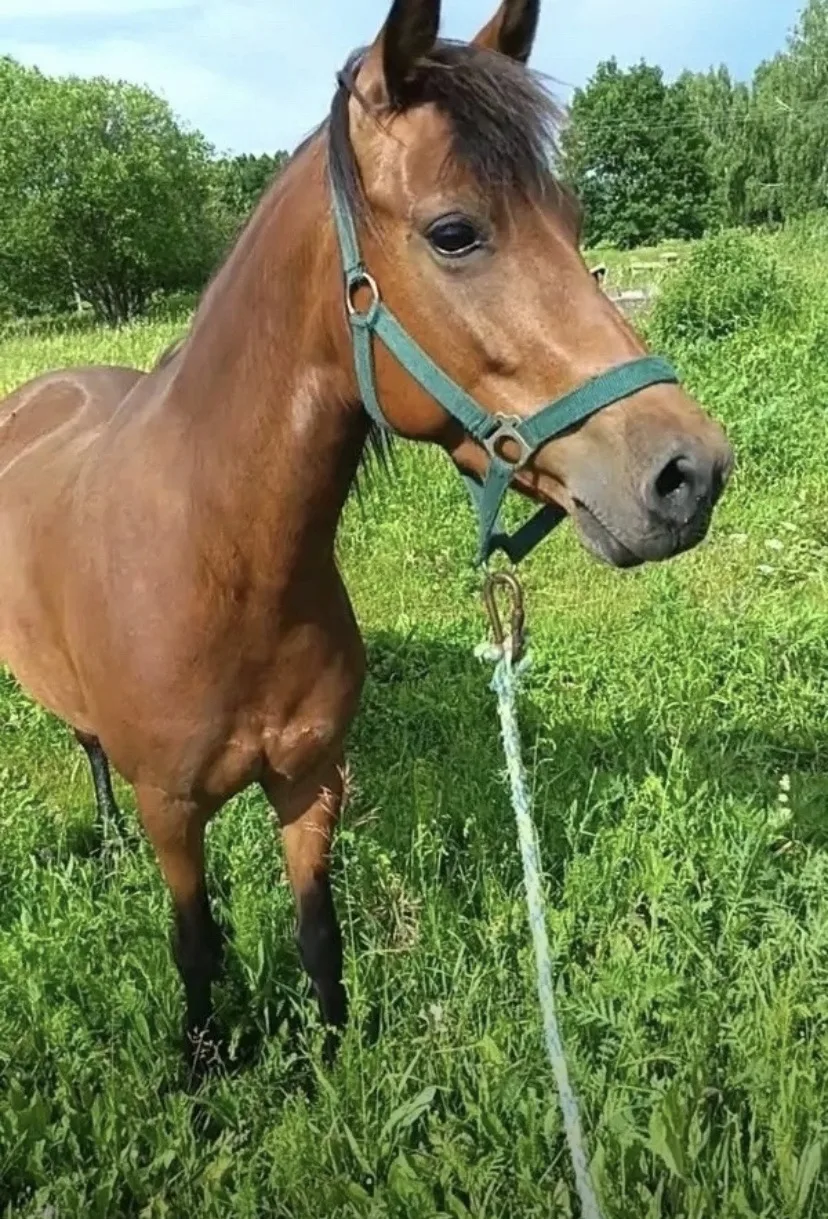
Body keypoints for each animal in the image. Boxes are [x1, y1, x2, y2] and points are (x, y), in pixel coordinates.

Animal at [0, 0, 733, 1072]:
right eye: (455, 232)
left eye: (574, 221)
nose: (691, 472)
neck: (219, 566)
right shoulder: (172, 811)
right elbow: (196, 946)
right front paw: (204, 1066)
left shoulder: (311, 784)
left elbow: (318, 930)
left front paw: (334, 1054)